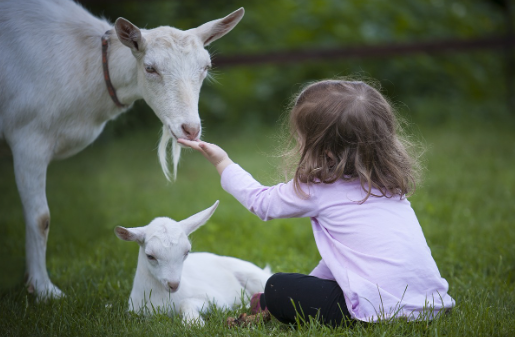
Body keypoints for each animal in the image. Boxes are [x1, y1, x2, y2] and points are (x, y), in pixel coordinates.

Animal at [0, 0, 245, 300]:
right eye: (150, 68)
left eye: (206, 67)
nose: (190, 129)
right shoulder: (28, 136)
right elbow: (40, 218)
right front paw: (44, 289)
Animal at [114, 201, 272, 324]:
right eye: (150, 256)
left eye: (186, 252)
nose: (174, 284)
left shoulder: (216, 299)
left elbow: (186, 302)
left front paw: (193, 323)